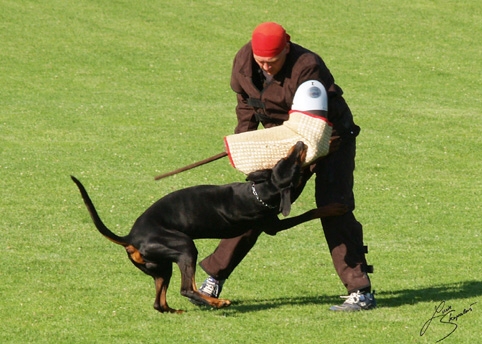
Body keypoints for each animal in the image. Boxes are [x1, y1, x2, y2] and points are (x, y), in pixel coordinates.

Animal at [71, 141, 344, 314]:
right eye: (291, 162)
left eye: (283, 158)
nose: (299, 143)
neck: (259, 192)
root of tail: (130, 237)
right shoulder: (273, 224)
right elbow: (309, 212)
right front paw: (336, 207)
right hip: (184, 247)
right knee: (187, 289)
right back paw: (218, 303)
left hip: (161, 267)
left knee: (160, 303)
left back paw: (177, 310)